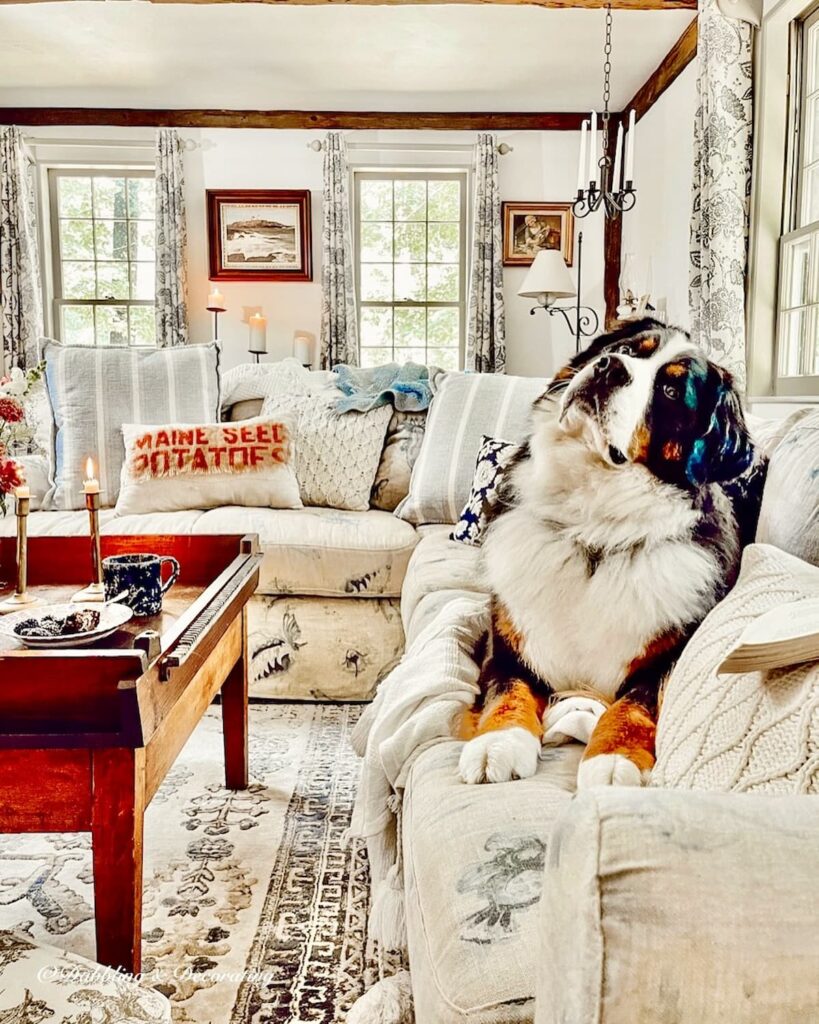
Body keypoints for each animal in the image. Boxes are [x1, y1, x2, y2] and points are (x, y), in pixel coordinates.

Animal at [456, 319, 765, 790]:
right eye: (629, 350)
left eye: (670, 391)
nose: (609, 367)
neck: (593, 533)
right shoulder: (507, 642)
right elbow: (508, 689)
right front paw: (499, 742)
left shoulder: (669, 656)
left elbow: (636, 702)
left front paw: (614, 758)